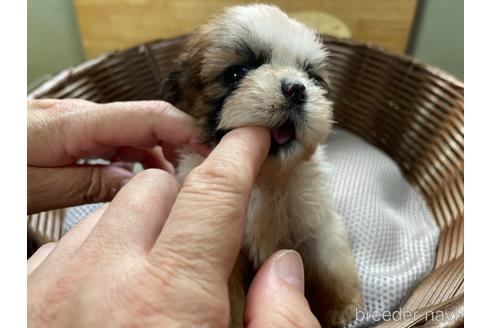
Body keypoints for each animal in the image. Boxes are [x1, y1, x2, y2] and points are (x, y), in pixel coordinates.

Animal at [161, 3, 362, 326]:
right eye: (236, 73)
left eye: (312, 77)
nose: (297, 89)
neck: (265, 177)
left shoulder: (318, 225)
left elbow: (331, 265)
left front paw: (342, 307)